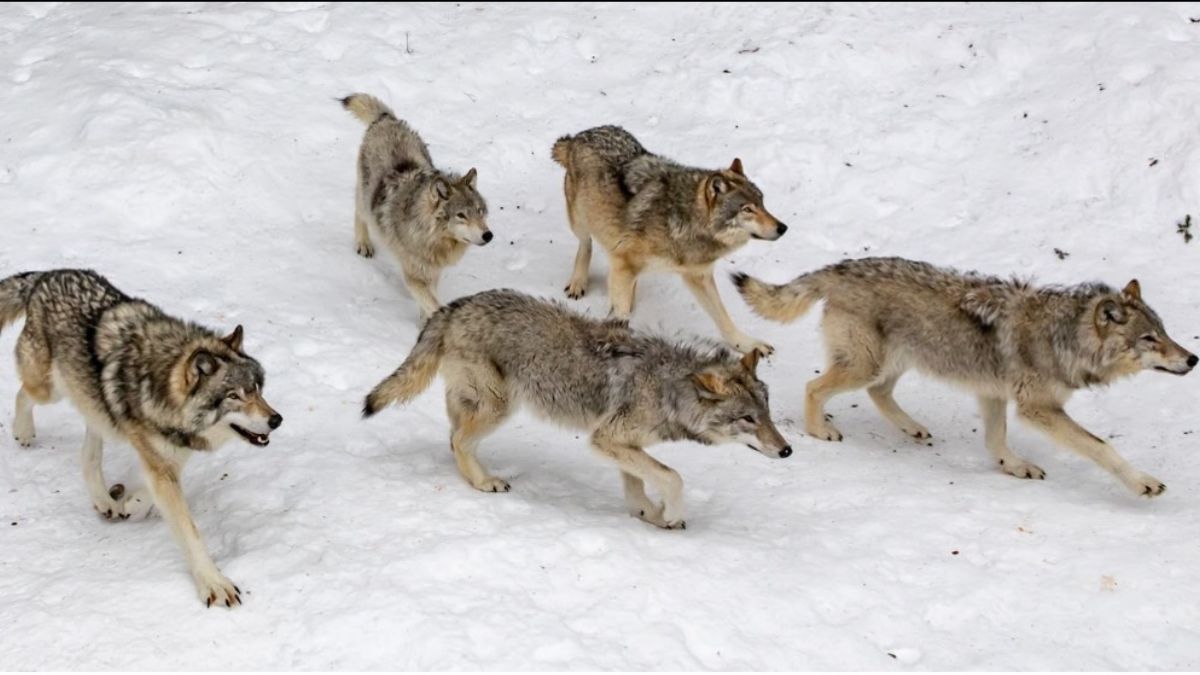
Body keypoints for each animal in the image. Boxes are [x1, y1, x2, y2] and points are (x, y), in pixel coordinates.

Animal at [0, 267, 283, 605]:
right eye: (234, 396)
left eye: (257, 390)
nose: (276, 420)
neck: (161, 388)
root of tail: (46, 275)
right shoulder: (161, 462)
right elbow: (190, 531)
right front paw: (213, 584)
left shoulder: (170, 455)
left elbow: (150, 491)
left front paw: (132, 504)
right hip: (49, 390)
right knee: (23, 394)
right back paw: (23, 432)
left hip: (92, 404)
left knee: (89, 448)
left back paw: (103, 499)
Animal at [340, 91, 489, 319]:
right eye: (461, 215)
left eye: (480, 212)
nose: (488, 235)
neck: (428, 236)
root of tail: (387, 120)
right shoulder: (413, 277)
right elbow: (433, 304)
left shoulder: (433, 273)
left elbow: (428, 303)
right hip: (365, 198)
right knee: (359, 211)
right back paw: (363, 244)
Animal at [360, 285, 792, 528]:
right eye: (748, 419)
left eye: (768, 415)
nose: (787, 450)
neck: (668, 388)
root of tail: (454, 305)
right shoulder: (606, 439)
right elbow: (673, 477)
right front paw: (670, 513)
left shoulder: (622, 445)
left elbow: (639, 486)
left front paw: (650, 516)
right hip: (499, 407)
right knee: (458, 441)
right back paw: (484, 482)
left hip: (482, 404)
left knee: (452, 436)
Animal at [549, 124, 787, 355]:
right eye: (747, 210)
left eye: (762, 203)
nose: (783, 228)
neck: (684, 221)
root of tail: (579, 135)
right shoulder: (625, 263)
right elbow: (621, 311)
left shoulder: (698, 276)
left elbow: (723, 318)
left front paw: (748, 345)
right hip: (580, 221)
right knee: (586, 245)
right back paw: (578, 283)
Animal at [734, 255, 1195, 494]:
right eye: (1150, 339)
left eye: (1166, 332)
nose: (1192, 359)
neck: (1063, 337)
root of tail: (841, 267)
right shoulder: (1038, 409)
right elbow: (1102, 448)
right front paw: (1143, 483)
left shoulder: (993, 393)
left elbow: (996, 440)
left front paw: (1013, 466)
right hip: (866, 365)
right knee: (815, 387)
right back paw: (820, 431)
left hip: (896, 363)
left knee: (879, 394)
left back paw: (913, 428)